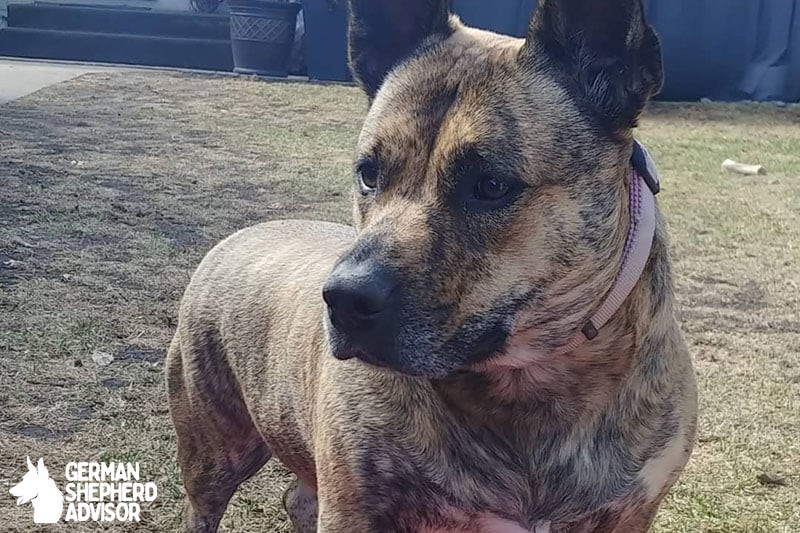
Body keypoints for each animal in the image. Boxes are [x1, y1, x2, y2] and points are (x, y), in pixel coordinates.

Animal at [166, 0, 696, 528]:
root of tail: (244, 232)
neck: (530, 387)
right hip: (214, 449)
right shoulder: (354, 505)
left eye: (491, 185)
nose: (343, 299)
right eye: (368, 173)